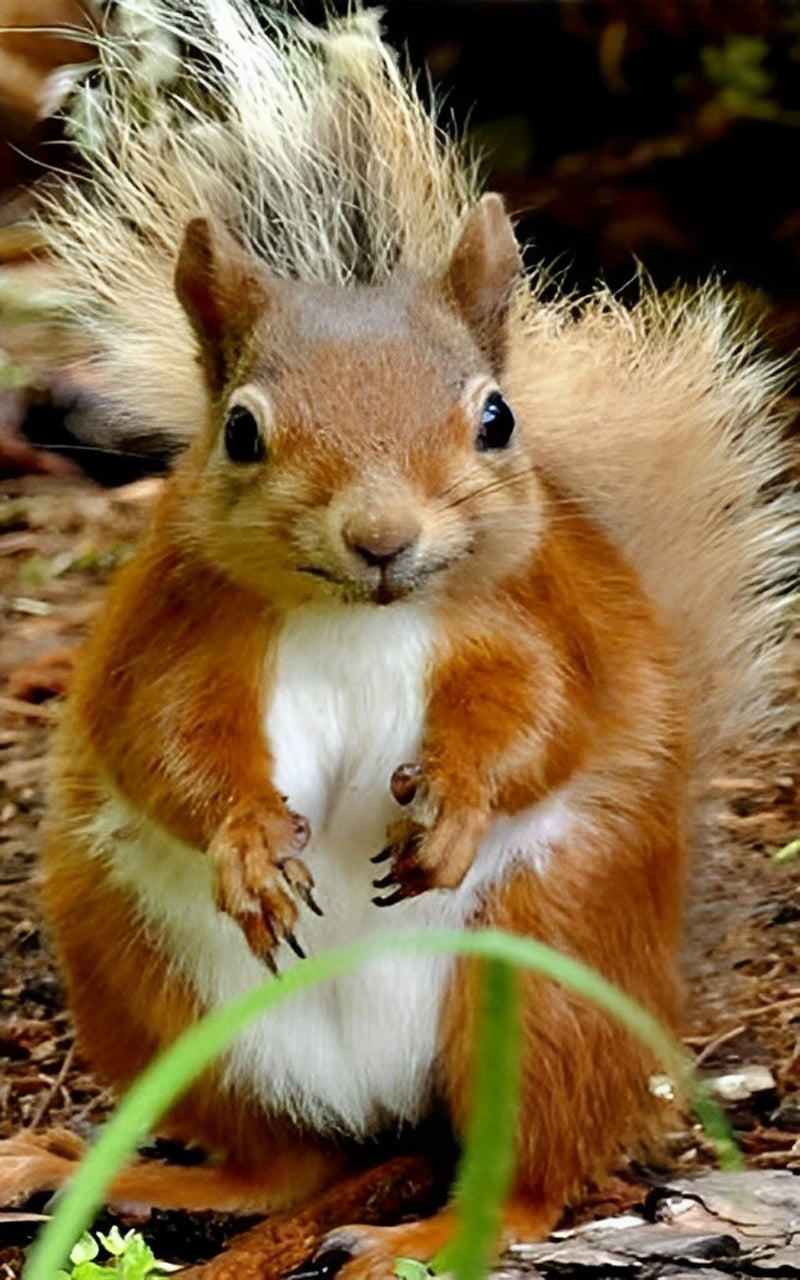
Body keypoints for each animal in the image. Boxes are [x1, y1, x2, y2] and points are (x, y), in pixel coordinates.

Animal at [1, 2, 796, 1276]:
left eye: (496, 418)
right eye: (239, 430)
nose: (381, 536)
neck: (354, 618)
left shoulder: (536, 621)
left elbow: (539, 717)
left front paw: (455, 807)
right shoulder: (176, 631)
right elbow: (165, 739)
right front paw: (245, 841)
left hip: (542, 979)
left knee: (528, 1173)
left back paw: (423, 1228)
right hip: (151, 980)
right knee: (274, 1163)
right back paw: (110, 1168)